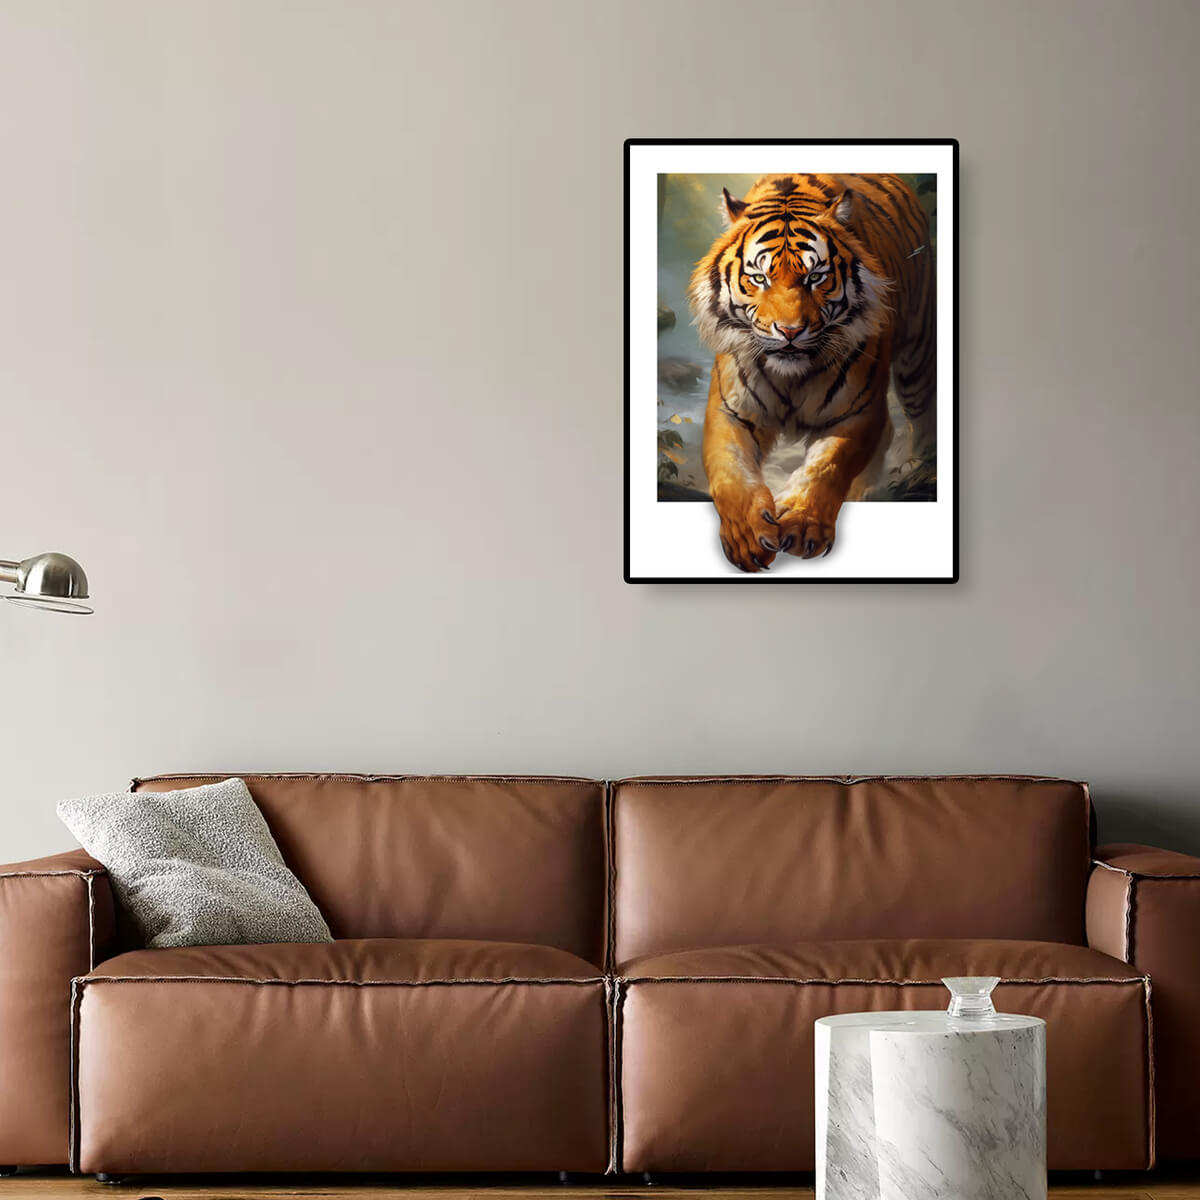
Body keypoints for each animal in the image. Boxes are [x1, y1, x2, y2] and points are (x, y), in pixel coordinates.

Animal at [687, 173, 935, 572]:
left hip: (917, 358)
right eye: (759, 278)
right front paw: (746, 537)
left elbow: (827, 467)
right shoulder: (731, 411)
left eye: (816, 277)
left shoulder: (856, 412)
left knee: (923, 422)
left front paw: (802, 525)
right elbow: (731, 474)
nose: (790, 331)